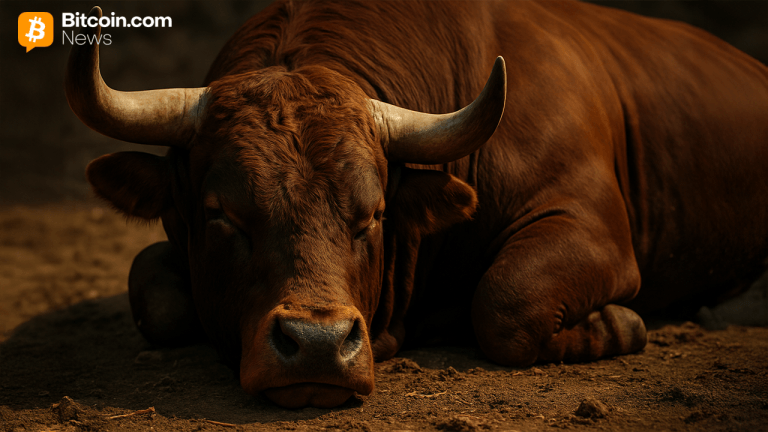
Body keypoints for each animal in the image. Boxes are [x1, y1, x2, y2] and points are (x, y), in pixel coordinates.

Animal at [64, 1, 768, 409]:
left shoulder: (593, 230)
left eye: (373, 213)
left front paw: (618, 324)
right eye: (221, 213)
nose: (317, 344)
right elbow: (152, 289)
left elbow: (506, 301)